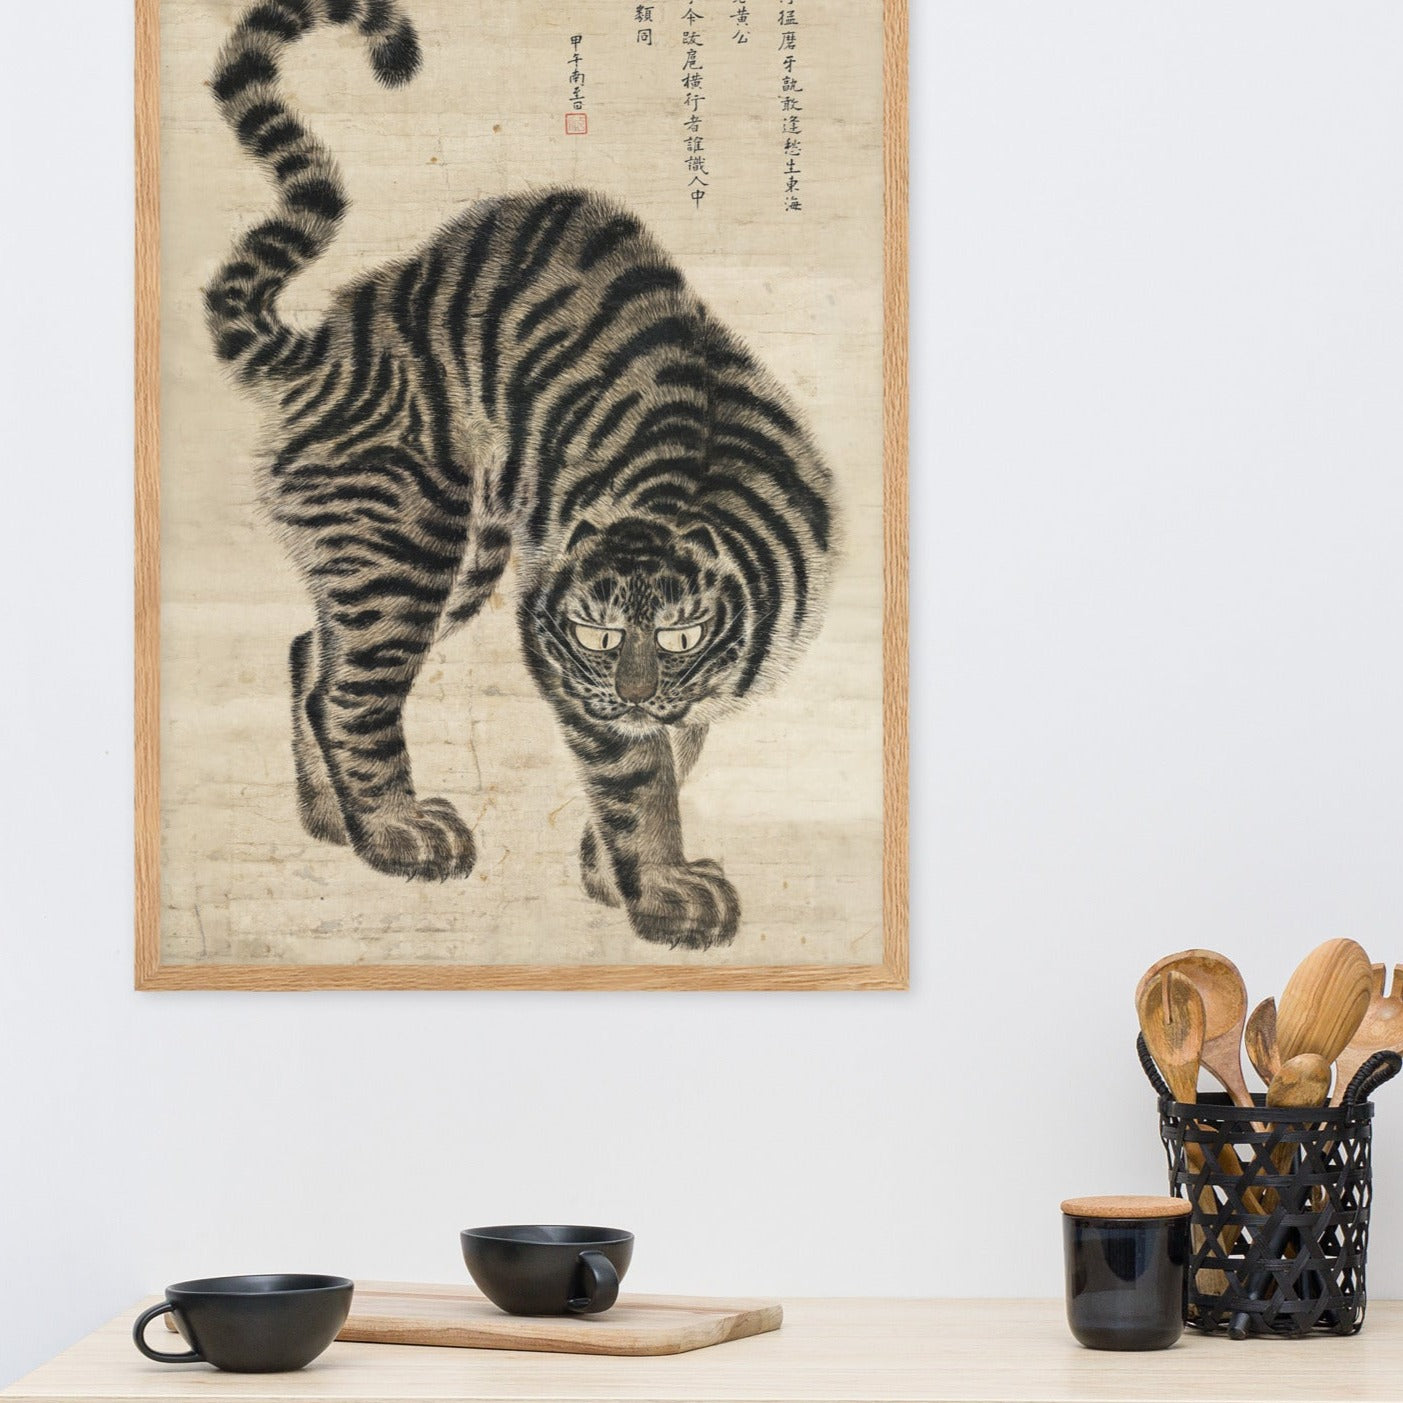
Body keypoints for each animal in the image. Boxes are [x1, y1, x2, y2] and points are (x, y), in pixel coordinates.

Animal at [205, 0, 836, 950]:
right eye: (596, 635)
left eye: (681, 634)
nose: (629, 693)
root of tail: (329, 342)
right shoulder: (572, 676)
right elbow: (637, 780)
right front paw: (661, 891)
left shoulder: (681, 684)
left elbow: (674, 749)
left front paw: (610, 874)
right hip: (405, 543)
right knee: (349, 692)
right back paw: (393, 832)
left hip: (449, 556)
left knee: (309, 651)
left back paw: (331, 822)